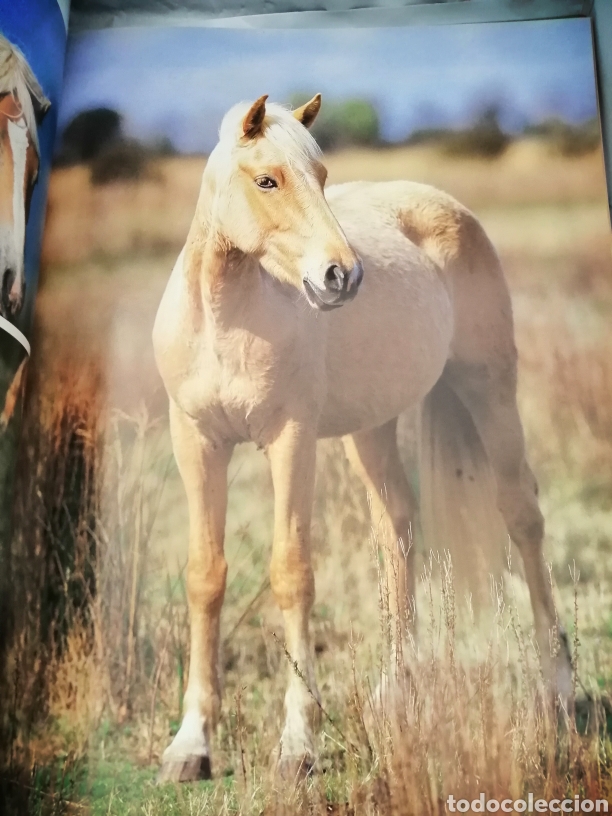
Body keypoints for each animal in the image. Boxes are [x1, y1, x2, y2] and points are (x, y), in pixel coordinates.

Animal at [153, 94, 573, 783]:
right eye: (267, 180)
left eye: (322, 175)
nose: (341, 277)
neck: (225, 318)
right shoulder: (196, 442)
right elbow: (204, 577)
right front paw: (191, 745)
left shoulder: (290, 439)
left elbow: (291, 572)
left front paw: (297, 746)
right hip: (372, 427)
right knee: (396, 524)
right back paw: (394, 694)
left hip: (488, 389)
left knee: (522, 516)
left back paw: (560, 687)